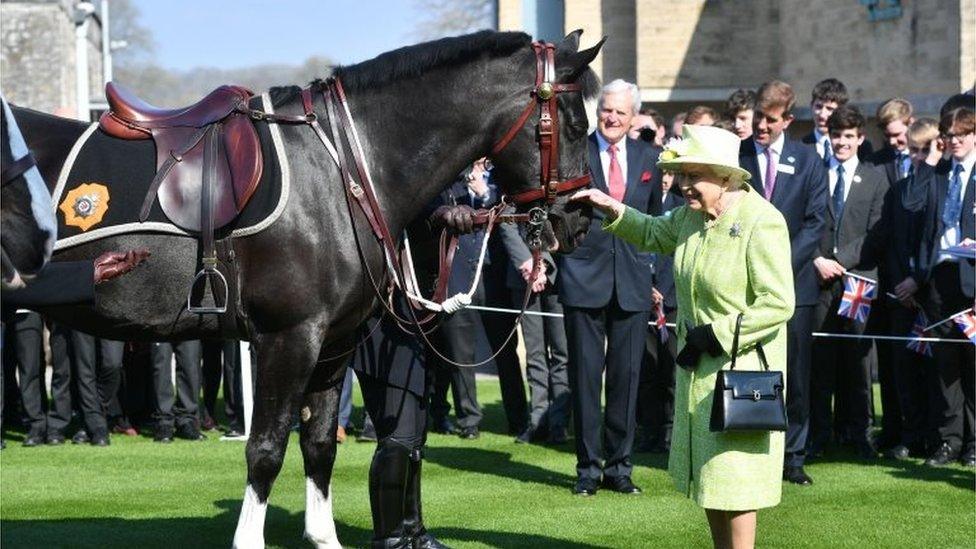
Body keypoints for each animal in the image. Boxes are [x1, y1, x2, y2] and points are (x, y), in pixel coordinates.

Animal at [9, 31, 604, 548]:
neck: (341, 170)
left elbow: (319, 446)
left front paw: (323, 535)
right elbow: (267, 448)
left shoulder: (333, 342)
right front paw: (249, 539)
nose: (579, 221)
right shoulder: (288, 337)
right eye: (576, 124)